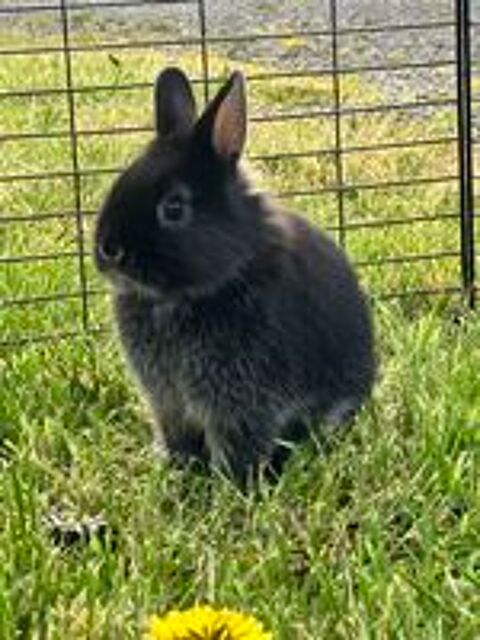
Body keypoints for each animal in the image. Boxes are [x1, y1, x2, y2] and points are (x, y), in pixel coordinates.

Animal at [94, 67, 375, 488]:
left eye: (174, 207)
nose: (108, 249)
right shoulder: (168, 401)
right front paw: (178, 469)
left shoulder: (241, 402)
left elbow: (238, 445)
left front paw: (234, 487)